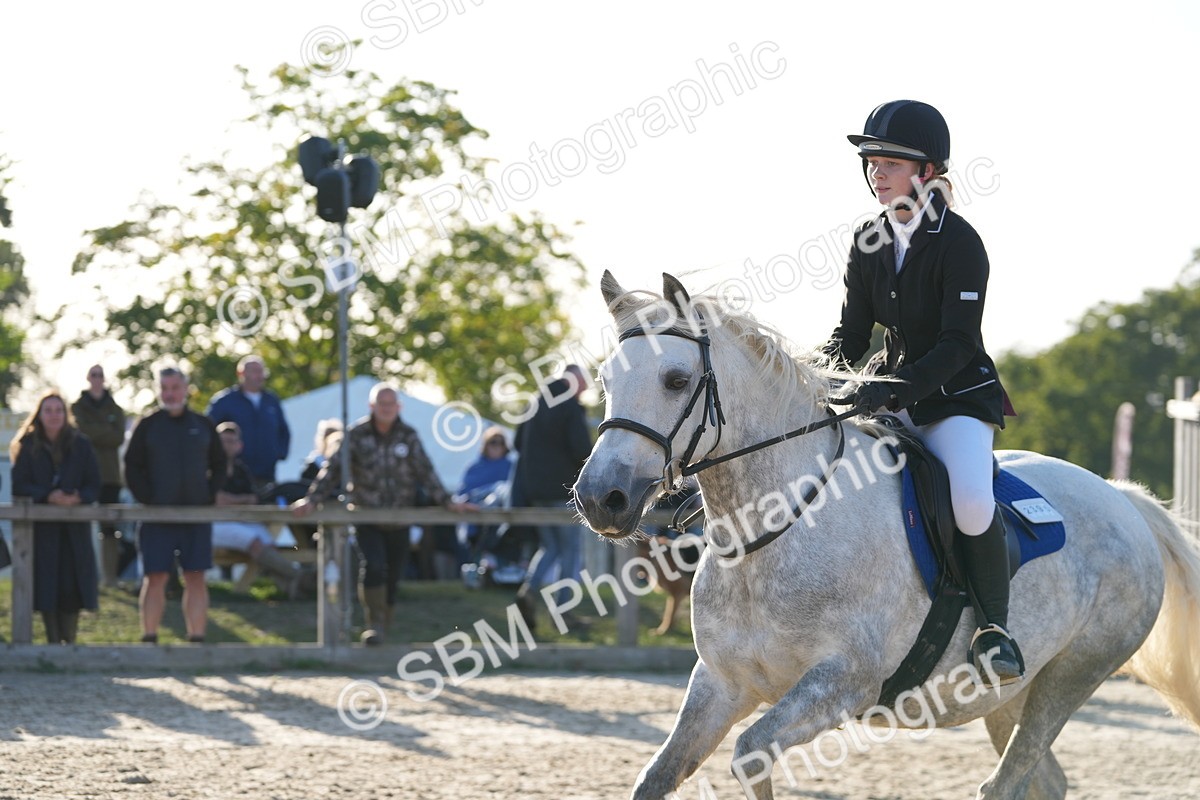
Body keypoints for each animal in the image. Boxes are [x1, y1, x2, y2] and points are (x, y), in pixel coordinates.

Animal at [573, 271, 1200, 800]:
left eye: (676, 380)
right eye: (604, 380)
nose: (601, 498)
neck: (774, 530)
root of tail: (1123, 499)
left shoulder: (845, 682)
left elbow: (750, 753)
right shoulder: (720, 683)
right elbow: (655, 778)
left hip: (1072, 674)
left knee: (1005, 782)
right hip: (1007, 696)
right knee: (1043, 779)